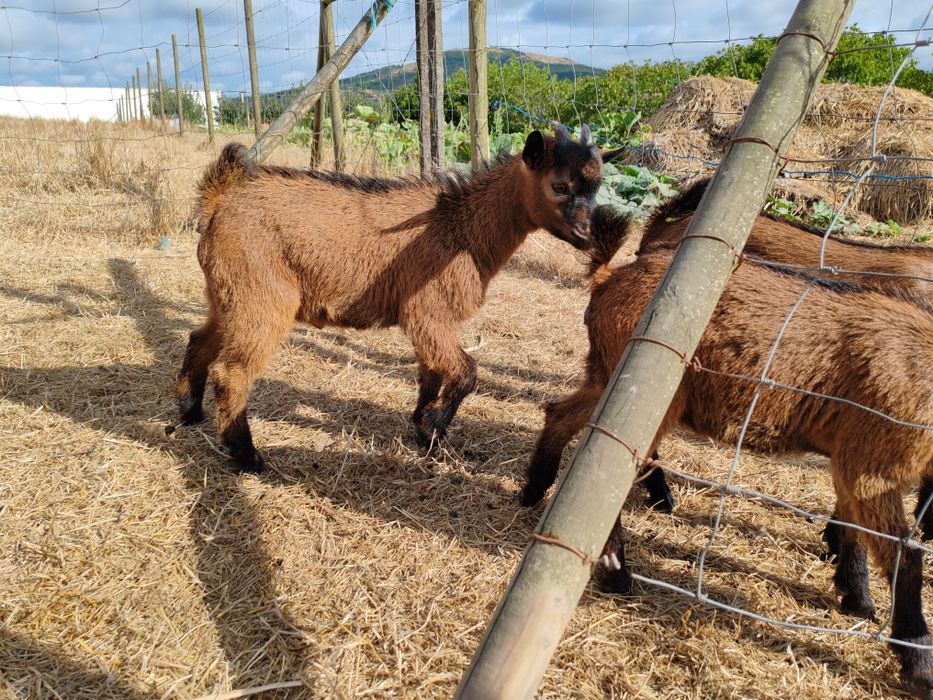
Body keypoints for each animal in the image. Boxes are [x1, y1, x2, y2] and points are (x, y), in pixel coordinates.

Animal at [176, 126, 620, 472]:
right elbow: (466, 371)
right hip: (260, 298)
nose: (586, 237)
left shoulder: (430, 320)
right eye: (559, 185)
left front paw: (423, 429)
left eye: (598, 189)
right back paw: (247, 457)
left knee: (199, 341)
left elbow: (432, 374)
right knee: (231, 373)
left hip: (227, 295)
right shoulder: (426, 312)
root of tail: (218, 203)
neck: (459, 227)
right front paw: (433, 428)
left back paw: (189, 411)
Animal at [521, 205, 933, 693]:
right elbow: (904, 555)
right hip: (650, 393)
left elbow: (852, 528)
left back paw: (533, 491)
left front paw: (856, 598)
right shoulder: (871, 461)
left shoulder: (853, 456)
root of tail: (609, 278)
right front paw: (918, 660)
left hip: (607, 376)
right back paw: (616, 569)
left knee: (561, 414)